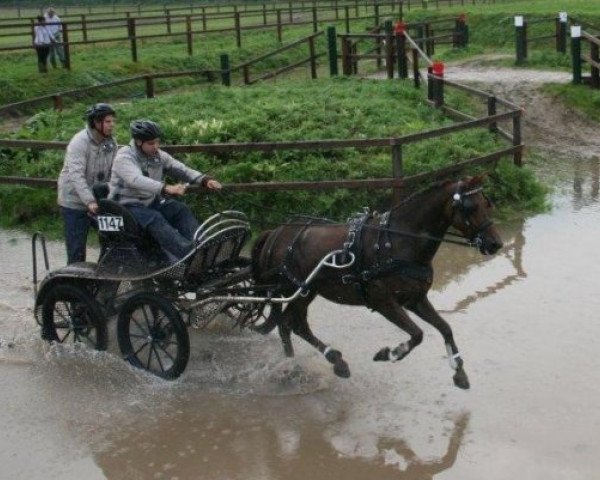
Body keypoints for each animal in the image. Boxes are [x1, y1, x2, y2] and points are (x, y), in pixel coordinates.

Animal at [248, 174, 502, 388]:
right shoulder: (383, 302)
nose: (495, 244)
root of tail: (275, 233)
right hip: (296, 290)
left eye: (487, 204)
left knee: (291, 325)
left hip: (306, 291)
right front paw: (390, 353)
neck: (398, 241)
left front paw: (459, 371)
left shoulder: (415, 299)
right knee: (290, 324)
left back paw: (320, 363)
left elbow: (445, 328)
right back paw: (304, 366)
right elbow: (417, 334)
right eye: (470, 207)